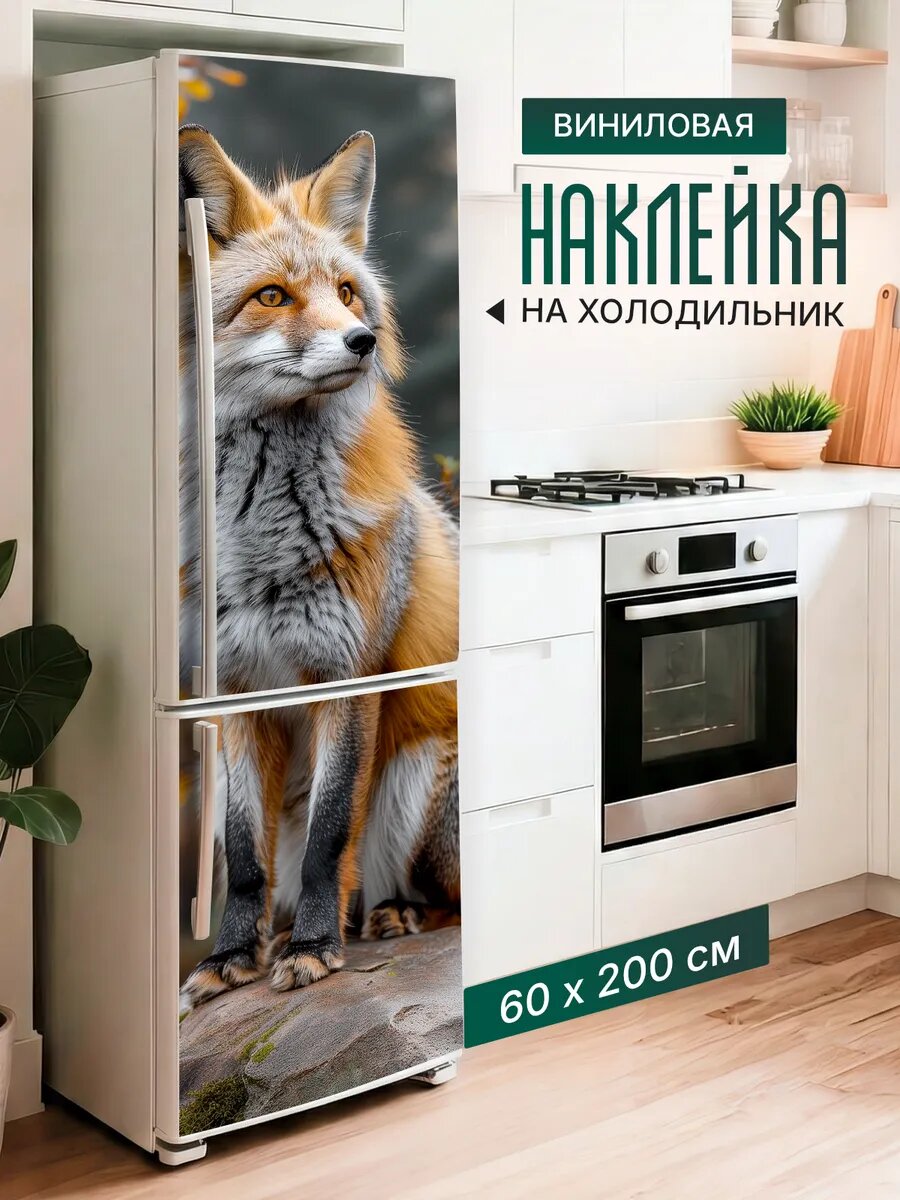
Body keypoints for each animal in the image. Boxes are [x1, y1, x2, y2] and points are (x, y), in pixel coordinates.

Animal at [177, 125, 460, 1010]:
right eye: (272, 296)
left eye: (345, 292)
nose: (360, 342)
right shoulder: (234, 692)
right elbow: (244, 854)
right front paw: (232, 956)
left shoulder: (347, 674)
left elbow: (333, 835)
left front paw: (311, 948)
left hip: (415, 787)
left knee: (442, 899)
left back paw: (389, 917)